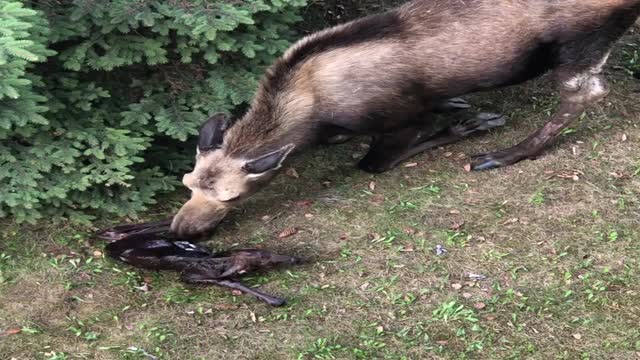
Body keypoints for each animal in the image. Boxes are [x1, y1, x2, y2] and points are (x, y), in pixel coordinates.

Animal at [169, 0, 640, 239]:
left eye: (233, 197)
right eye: (187, 183)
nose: (180, 230)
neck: (309, 115)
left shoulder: (397, 119)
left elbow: (376, 161)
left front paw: (470, 124)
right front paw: (456, 107)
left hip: (579, 43)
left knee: (585, 93)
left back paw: (505, 154)